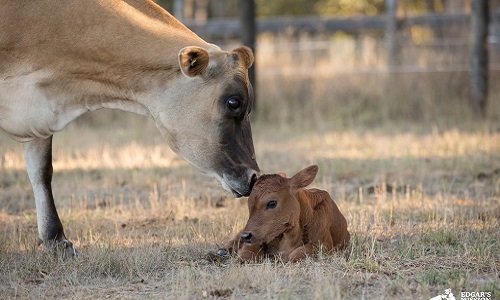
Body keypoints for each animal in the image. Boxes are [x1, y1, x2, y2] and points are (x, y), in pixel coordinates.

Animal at [219, 165, 352, 262]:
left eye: (272, 203)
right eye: (249, 203)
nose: (246, 235)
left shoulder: (324, 245)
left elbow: (298, 253)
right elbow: (247, 254)